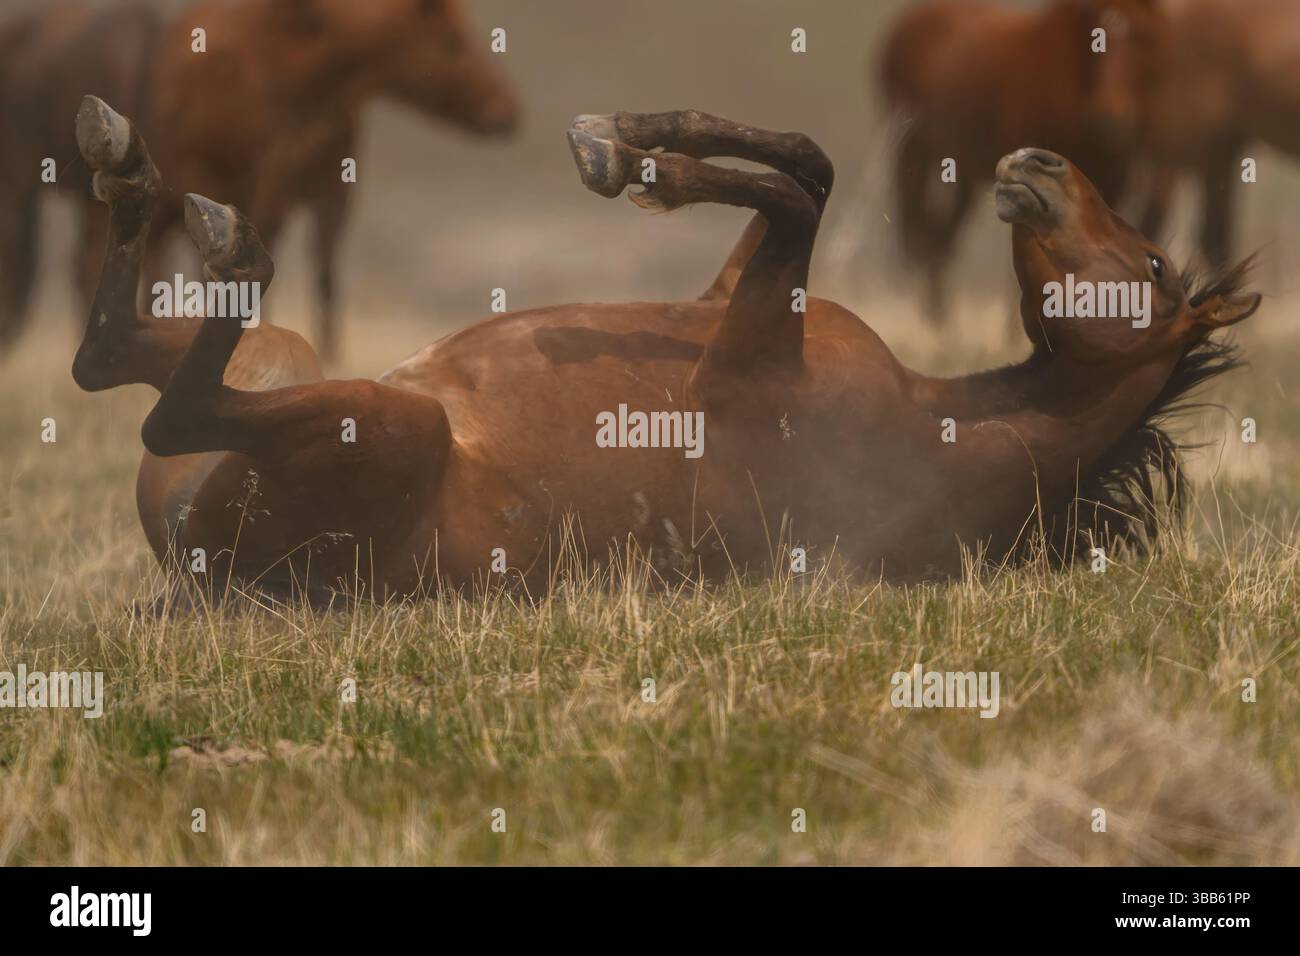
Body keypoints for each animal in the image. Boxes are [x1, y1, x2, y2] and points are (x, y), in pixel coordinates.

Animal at [0, 0, 519, 360]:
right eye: (451, 40)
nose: (507, 112)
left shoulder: (323, 195)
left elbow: (322, 278)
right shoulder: (248, 187)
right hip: (41, 193)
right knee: (68, 264)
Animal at [70, 96, 1258, 605]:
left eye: (1155, 264)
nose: (1038, 162)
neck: (936, 429)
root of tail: (203, 572)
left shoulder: (746, 351)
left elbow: (801, 193)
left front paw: (627, 156)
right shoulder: (731, 299)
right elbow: (807, 167)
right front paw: (640, 139)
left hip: (381, 418)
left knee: (164, 403)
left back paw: (209, 229)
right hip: (294, 352)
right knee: (109, 358)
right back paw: (128, 169)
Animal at [880, 0, 1164, 322]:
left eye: (1145, 36)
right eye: (1092, 34)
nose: (1112, 119)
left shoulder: (1111, 185)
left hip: (960, 173)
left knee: (939, 238)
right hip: (912, 154)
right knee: (916, 232)